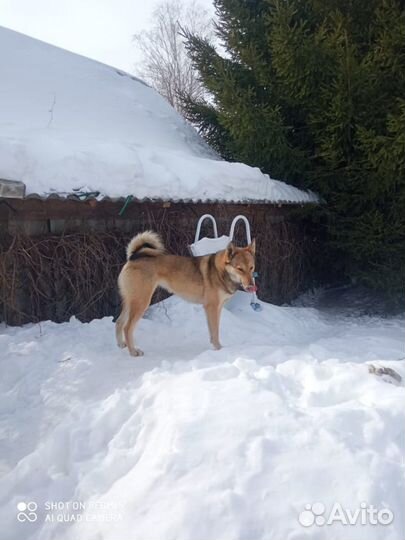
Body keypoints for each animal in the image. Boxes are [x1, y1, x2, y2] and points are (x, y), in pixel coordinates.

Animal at [115, 230, 256, 356]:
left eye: (251, 268)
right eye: (240, 269)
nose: (252, 286)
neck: (220, 272)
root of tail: (133, 256)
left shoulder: (218, 308)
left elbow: (214, 331)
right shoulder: (211, 307)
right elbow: (215, 332)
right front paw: (219, 349)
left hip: (131, 302)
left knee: (119, 322)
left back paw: (121, 344)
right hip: (141, 302)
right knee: (127, 327)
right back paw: (133, 351)